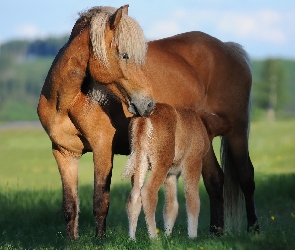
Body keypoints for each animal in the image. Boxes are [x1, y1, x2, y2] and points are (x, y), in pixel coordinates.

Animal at [37, 4, 260, 239]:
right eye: (125, 55)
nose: (148, 104)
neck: (68, 101)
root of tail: (229, 49)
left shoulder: (102, 149)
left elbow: (100, 199)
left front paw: (99, 240)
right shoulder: (64, 153)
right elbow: (70, 205)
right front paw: (73, 241)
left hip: (236, 132)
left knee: (246, 177)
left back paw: (253, 229)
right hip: (202, 141)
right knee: (215, 180)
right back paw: (214, 233)